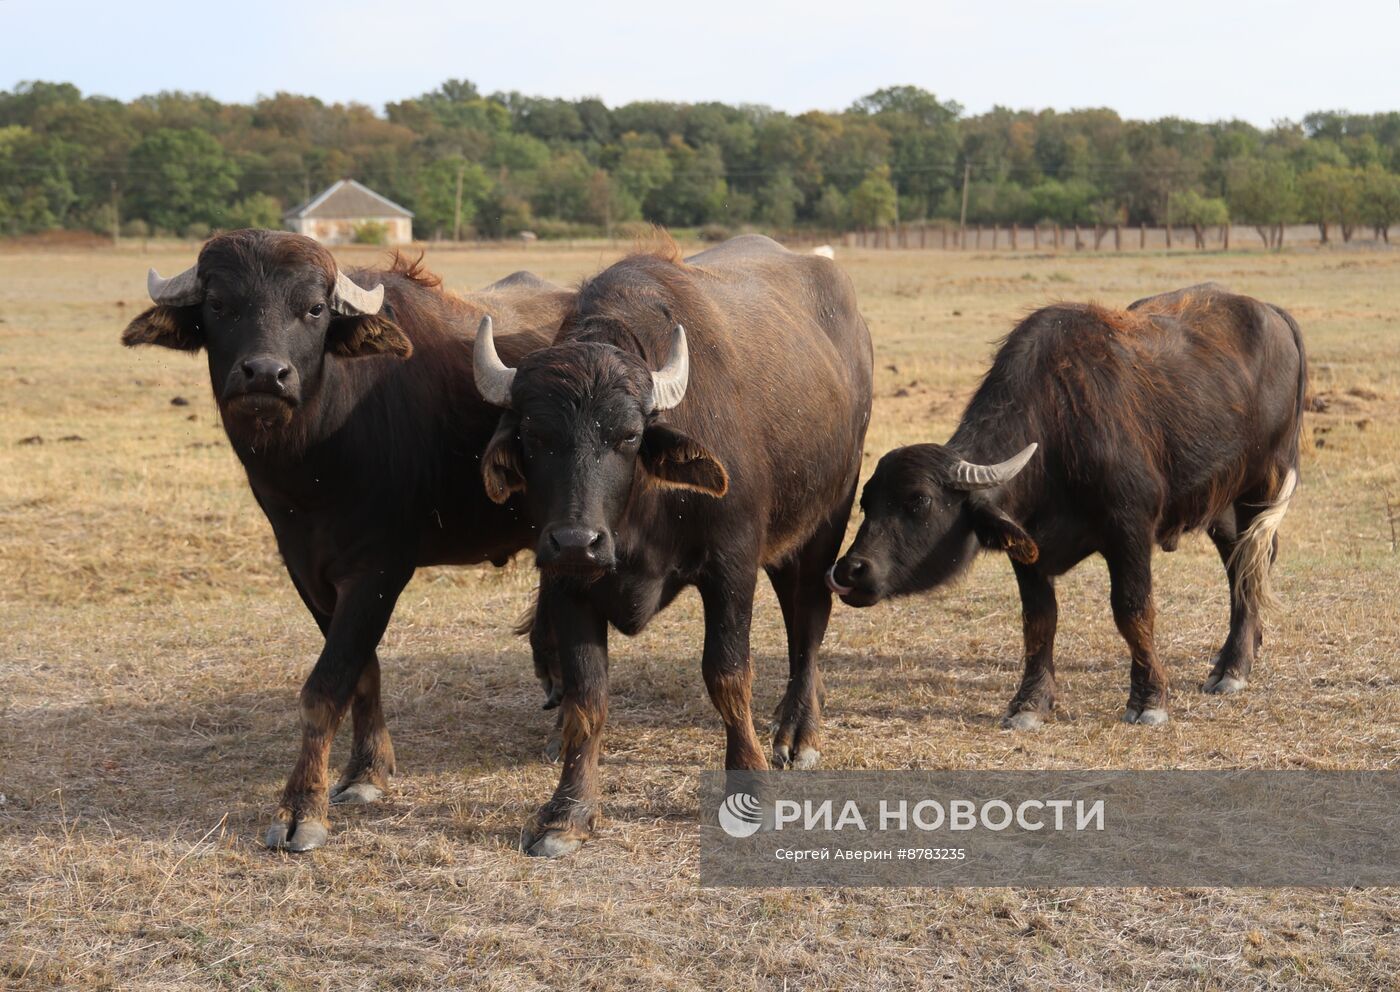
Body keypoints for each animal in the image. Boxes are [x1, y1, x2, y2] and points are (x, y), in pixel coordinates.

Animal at [123, 230, 571, 850]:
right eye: (218, 305)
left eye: (313, 308)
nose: (265, 375)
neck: (314, 466)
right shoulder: (308, 574)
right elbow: (363, 672)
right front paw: (366, 772)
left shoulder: (378, 570)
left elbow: (326, 684)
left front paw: (301, 809)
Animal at [476, 236, 868, 856]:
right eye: (535, 438)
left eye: (629, 436)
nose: (578, 540)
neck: (638, 515)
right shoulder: (566, 583)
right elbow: (587, 694)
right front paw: (568, 810)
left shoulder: (732, 564)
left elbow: (727, 673)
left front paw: (749, 782)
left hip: (825, 519)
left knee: (807, 621)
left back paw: (798, 731)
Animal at [823, 284, 1304, 727]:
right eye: (866, 501)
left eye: (919, 501)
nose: (850, 570)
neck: (1060, 428)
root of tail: (1271, 313)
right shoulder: (1028, 548)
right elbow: (1039, 621)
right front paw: (1029, 703)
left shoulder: (1129, 530)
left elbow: (1132, 610)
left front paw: (1148, 699)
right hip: (1218, 502)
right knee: (1239, 563)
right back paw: (1236, 656)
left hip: (1263, 484)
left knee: (1253, 563)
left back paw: (1234, 669)